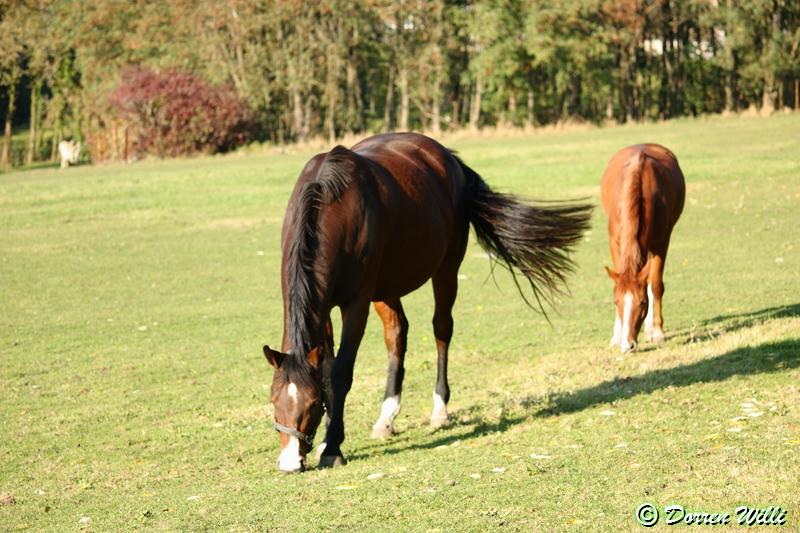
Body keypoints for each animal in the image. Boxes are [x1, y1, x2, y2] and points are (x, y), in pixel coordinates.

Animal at [260, 132, 588, 470]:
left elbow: (340, 373)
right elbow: (326, 370)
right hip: (387, 286)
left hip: (446, 269)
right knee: (397, 334)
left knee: (442, 329)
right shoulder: (322, 306)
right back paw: (386, 418)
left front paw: (332, 448)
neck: (329, 206)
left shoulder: (356, 304)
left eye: (313, 404)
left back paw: (439, 410)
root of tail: (449, 159)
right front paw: (329, 439)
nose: (289, 462)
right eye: (273, 400)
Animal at [600, 144, 688, 354]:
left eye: (642, 303)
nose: (627, 345)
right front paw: (616, 336)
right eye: (616, 302)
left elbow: (655, 284)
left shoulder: (661, 242)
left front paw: (657, 332)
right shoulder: (615, 243)